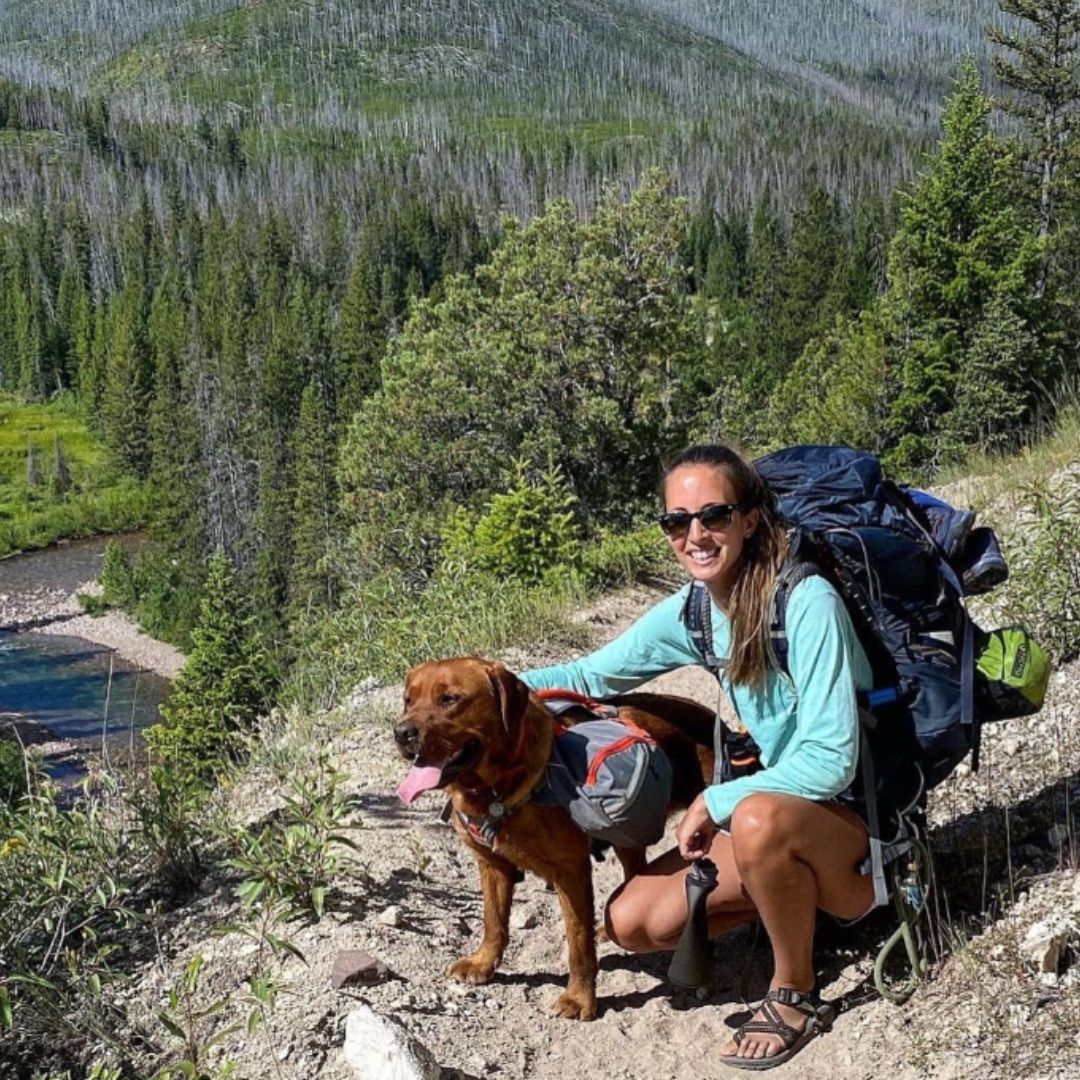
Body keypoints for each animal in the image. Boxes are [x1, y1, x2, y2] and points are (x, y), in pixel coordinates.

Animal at [393, 656, 712, 1019]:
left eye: (450, 699)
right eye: (408, 700)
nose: (401, 732)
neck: (497, 789)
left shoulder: (570, 871)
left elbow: (578, 943)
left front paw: (580, 998)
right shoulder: (492, 864)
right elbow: (493, 921)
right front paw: (484, 963)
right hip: (626, 840)